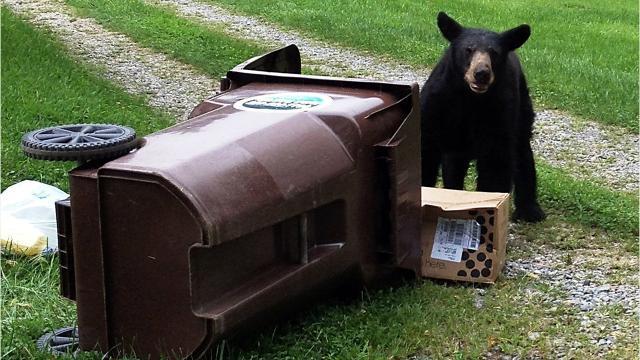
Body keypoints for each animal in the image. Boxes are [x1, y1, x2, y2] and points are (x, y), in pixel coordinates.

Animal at [420, 11, 544, 222]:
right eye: (468, 49)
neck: (470, 98)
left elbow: (495, 163)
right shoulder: (437, 106)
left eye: (494, 53)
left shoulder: (498, 113)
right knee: (454, 164)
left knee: (522, 151)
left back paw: (530, 210)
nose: (481, 73)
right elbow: (425, 151)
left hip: (522, 108)